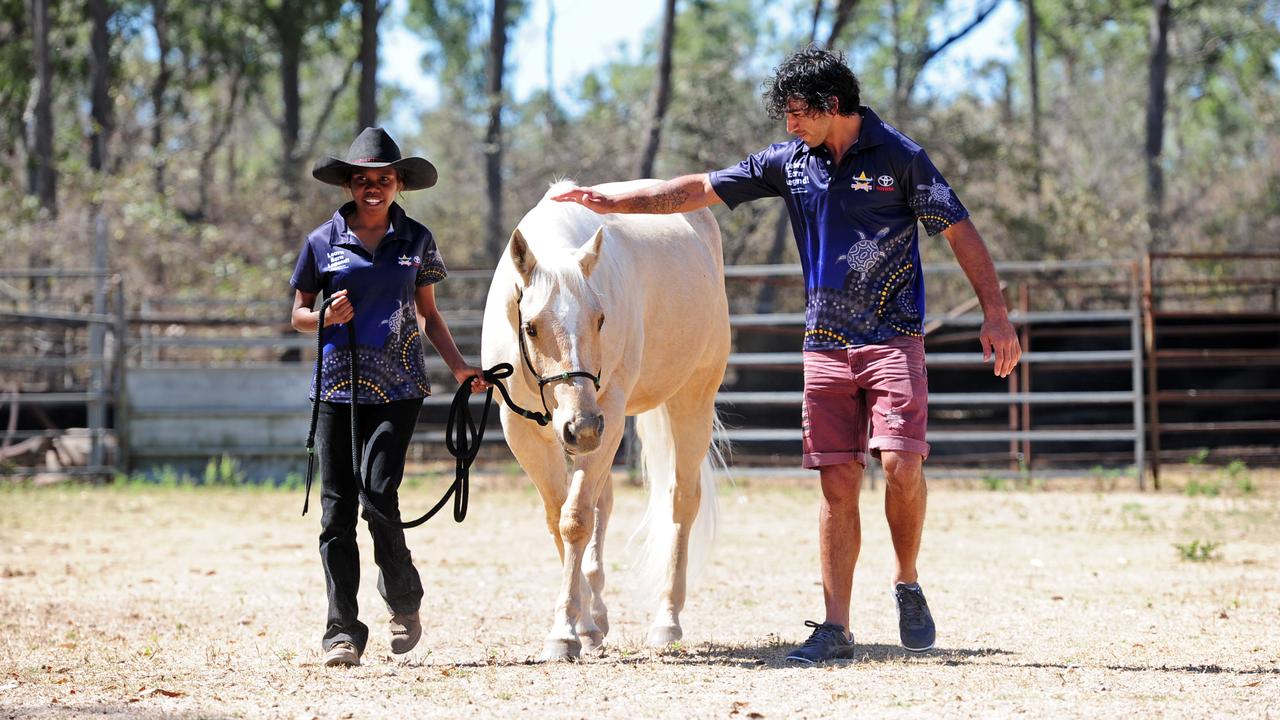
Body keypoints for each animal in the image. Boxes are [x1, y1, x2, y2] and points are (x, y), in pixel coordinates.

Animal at [481, 180, 732, 661]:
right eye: (532, 327)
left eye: (600, 320)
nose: (581, 428)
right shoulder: (525, 432)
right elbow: (560, 519)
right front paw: (583, 624)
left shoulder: (609, 416)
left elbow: (575, 519)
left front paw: (564, 632)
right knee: (605, 502)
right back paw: (597, 615)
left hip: (691, 398)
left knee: (680, 501)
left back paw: (666, 622)